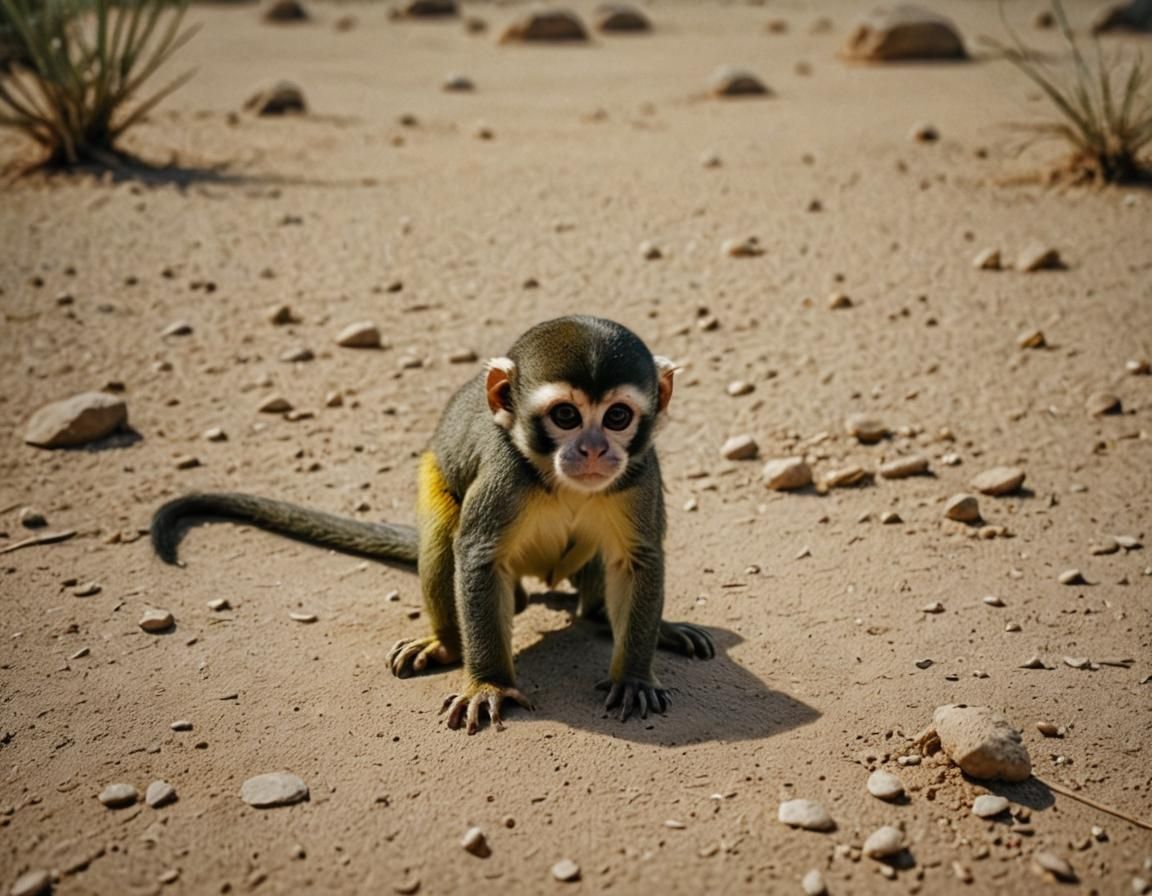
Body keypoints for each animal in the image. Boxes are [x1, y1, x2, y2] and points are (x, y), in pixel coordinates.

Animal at [151, 315, 714, 734]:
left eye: (617, 417)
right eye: (566, 417)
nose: (594, 450)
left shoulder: (640, 473)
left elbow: (638, 559)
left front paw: (634, 675)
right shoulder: (505, 472)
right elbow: (478, 558)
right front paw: (488, 682)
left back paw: (615, 619)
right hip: (431, 474)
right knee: (446, 539)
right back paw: (446, 642)